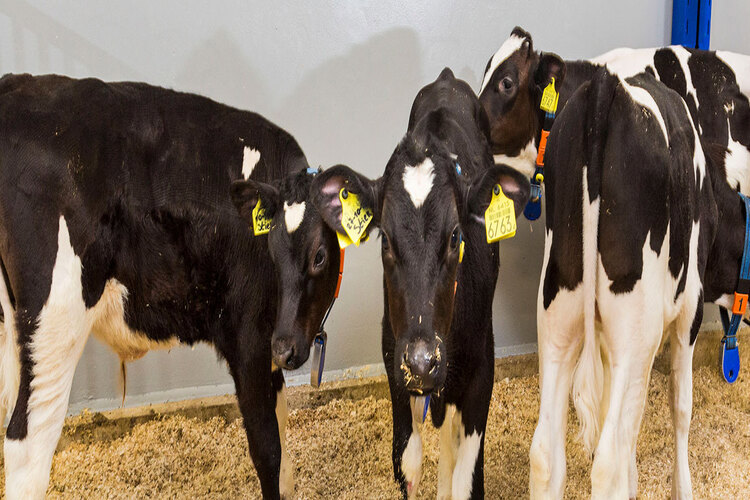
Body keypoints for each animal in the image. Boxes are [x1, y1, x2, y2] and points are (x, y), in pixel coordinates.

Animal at [0, 73, 351, 499]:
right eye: (269, 248)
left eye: (319, 255)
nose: (287, 349)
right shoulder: (248, 335)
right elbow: (267, 444)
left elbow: (281, 421)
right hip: (54, 318)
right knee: (27, 442)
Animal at [297, 68, 530, 499]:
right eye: (385, 240)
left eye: (456, 237)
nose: (423, 361)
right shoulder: (394, 363)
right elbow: (406, 461)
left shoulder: (481, 370)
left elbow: (466, 479)